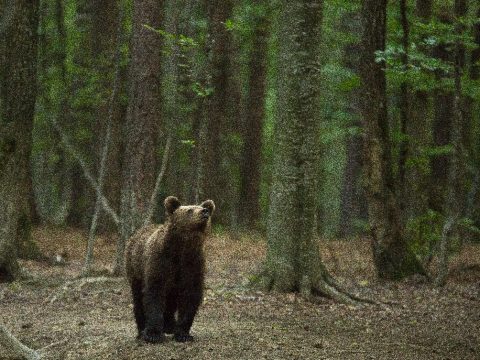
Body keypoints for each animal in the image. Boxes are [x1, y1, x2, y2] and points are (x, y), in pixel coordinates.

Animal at [124, 197, 215, 344]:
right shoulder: (160, 262)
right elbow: (154, 294)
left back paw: (170, 326)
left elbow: (190, 296)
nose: (205, 211)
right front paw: (153, 334)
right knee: (138, 297)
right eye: (190, 210)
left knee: (171, 300)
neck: (181, 249)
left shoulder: (193, 265)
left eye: (202, 207)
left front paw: (183, 334)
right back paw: (141, 330)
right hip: (135, 269)